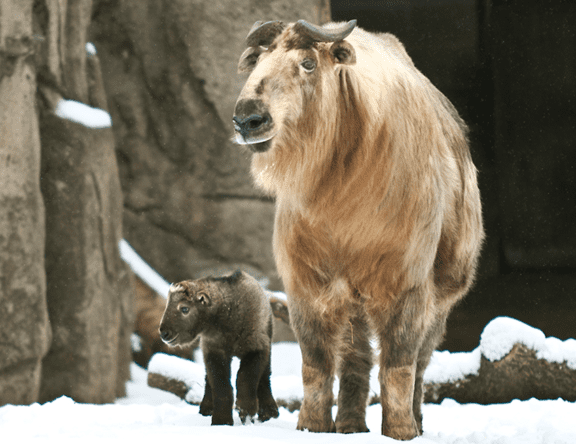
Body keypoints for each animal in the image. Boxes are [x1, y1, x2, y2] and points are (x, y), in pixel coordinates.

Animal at [160, 268, 280, 424]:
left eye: (184, 309)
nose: (164, 333)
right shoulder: (214, 351)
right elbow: (220, 386)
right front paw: (221, 421)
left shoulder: (256, 348)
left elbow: (245, 379)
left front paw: (246, 411)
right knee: (208, 380)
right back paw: (206, 410)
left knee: (265, 378)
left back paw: (269, 413)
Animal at [232, 18, 484, 440]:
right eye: (258, 61)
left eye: (308, 63)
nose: (249, 118)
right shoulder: (306, 284)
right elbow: (315, 363)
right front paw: (311, 426)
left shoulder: (407, 283)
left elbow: (399, 365)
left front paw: (401, 431)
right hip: (352, 300)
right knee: (356, 358)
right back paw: (350, 424)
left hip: (441, 296)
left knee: (420, 362)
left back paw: (412, 421)